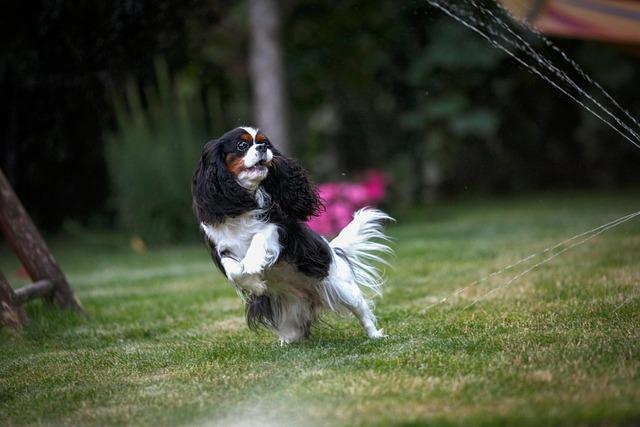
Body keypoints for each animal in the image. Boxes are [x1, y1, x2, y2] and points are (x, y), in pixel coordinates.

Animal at [190, 127, 392, 344]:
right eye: (242, 145)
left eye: (265, 143)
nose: (262, 148)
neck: (244, 201)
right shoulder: (221, 248)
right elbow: (234, 271)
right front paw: (255, 284)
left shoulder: (278, 229)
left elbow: (259, 237)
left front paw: (252, 264)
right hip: (287, 307)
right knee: (294, 329)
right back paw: (287, 342)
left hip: (342, 288)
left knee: (363, 311)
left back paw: (375, 335)